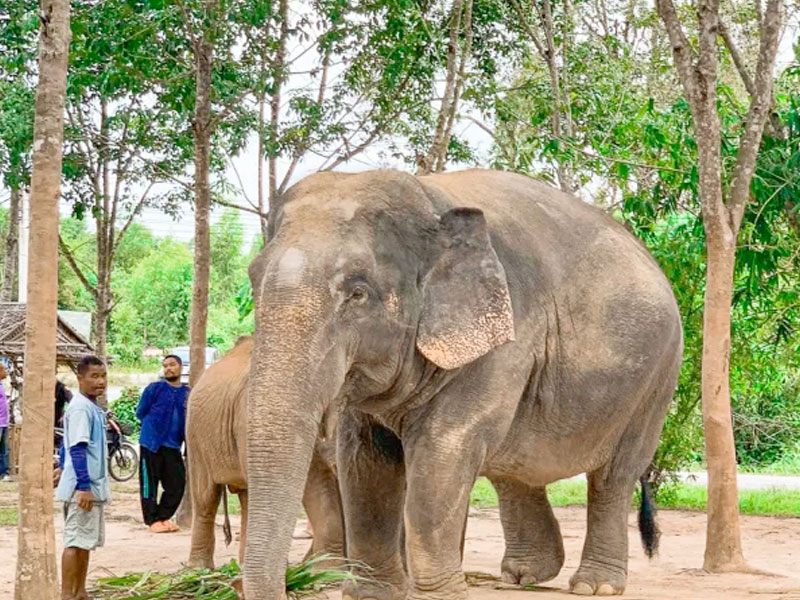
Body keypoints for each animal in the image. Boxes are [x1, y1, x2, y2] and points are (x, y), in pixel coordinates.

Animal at [244, 169, 680, 600]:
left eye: (358, 292)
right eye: (253, 277)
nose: (289, 584)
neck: (427, 196)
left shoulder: (508, 337)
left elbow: (443, 450)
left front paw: (440, 595)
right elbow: (363, 459)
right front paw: (373, 594)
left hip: (656, 380)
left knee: (614, 475)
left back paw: (595, 585)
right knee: (513, 465)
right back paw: (524, 575)